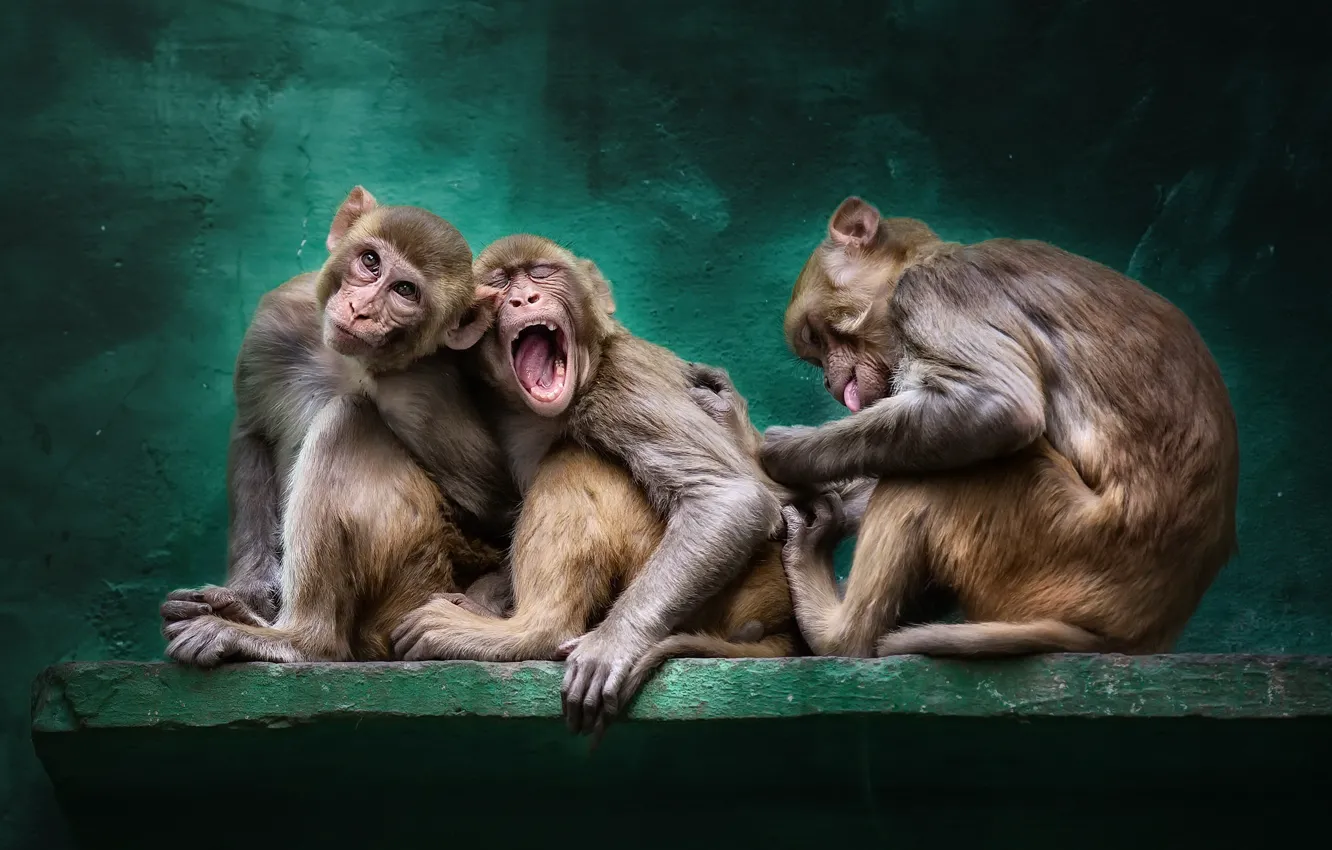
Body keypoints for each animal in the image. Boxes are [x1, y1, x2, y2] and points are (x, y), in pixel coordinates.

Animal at [159, 187, 517, 664]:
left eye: (405, 290)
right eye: (370, 261)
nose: (361, 309)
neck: (349, 362)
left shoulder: (424, 396)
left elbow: (506, 512)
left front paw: (480, 604)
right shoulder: (275, 320)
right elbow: (252, 434)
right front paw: (248, 593)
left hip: (413, 585)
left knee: (345, 420)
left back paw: (296, 639)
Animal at [390, 234, 785, 734]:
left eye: (541, 274)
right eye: (500, 283)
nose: (523, 299)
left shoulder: (624, 383)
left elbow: (729, 498)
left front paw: (613, 643)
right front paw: (484, 596)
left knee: (574, 459)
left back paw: (528, 633)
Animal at [763, 195, 1239, 658]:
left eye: (815, 338)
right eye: (815, 354)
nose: (829, 380)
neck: (920, 262)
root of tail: (1145, 631)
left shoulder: (934, 293)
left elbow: (1000, 407)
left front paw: (787, 455)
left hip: (1061, 540)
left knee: (930, 476)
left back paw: (839, 636)